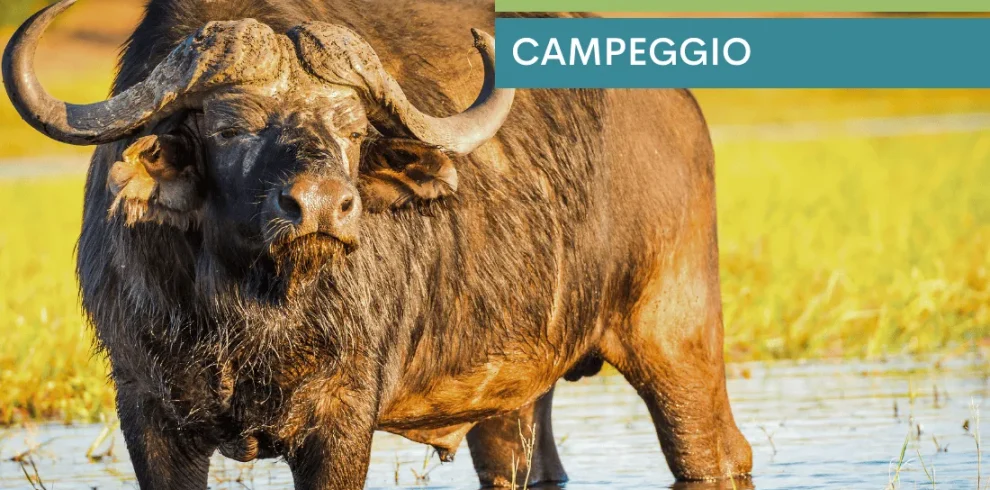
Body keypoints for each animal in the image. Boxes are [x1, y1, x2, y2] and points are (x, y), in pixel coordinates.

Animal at [3, 0, 752, 488]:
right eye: (228, 127)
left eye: (354, 129)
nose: (321, 206)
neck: (250, 310)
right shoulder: (150, 416)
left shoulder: (340, 419)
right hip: (515, 393)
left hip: (677, 341)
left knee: (719, 454)